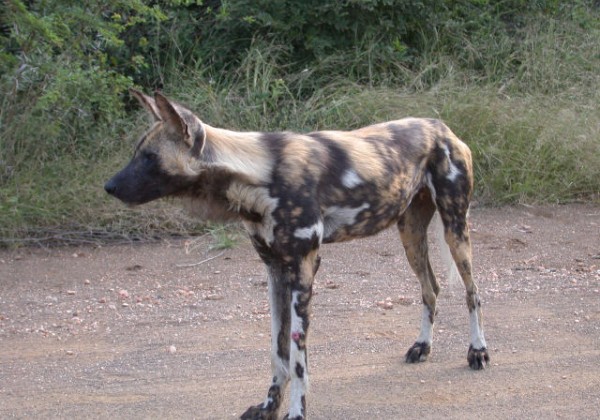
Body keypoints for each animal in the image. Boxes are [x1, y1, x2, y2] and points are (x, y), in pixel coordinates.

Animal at [104, 90, 488, 418]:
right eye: (136, 153)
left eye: (150, 158)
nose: (108, 186)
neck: (256, 176)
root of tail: (440, 125)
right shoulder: (275, 270)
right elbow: (279, 352)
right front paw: (268, 407)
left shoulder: (304, 269)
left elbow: (299, 359)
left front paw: (296, 412)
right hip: (409, 234)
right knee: (431, 288)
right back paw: (422, 346)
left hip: (455, 229)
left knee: (472, 292)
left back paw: (478, 352)